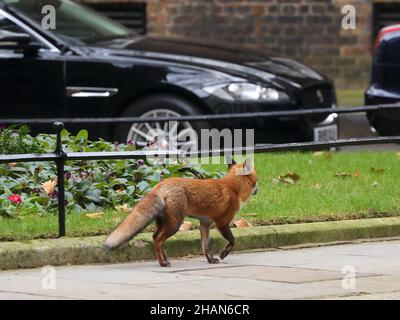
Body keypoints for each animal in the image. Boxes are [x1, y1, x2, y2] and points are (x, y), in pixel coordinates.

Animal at [104, 158, 260, 268]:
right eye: (257, 180)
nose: (259, 190)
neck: (233, 187)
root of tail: (160, 184)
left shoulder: (205, 224)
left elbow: (206, 247)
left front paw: (211, 260)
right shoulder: (221, 223)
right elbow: (233, 241)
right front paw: (223, 254)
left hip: (165, 223)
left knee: (155, 238)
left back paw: (165, 259)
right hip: (175, 224)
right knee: (158, 240)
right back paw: (162, 263)